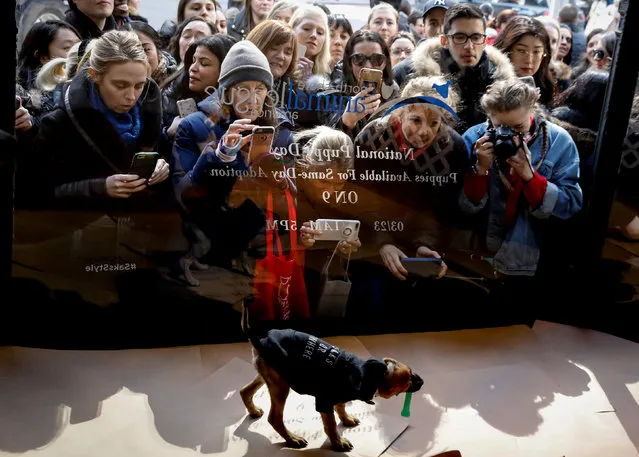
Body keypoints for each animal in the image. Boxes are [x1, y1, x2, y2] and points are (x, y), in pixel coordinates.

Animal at [240, 306, 424, 448]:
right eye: (408, 379)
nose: (422, 381)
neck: (366, 373)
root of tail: (259, 339)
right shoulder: (324, 401)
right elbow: (331, 424)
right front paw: (338, 442)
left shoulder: (339, 395)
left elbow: (341, 407)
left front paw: (346, 419)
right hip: (280, 386)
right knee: (275, 417)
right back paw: (292, 439)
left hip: (271, 375)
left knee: (244, 391)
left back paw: (253, 410)